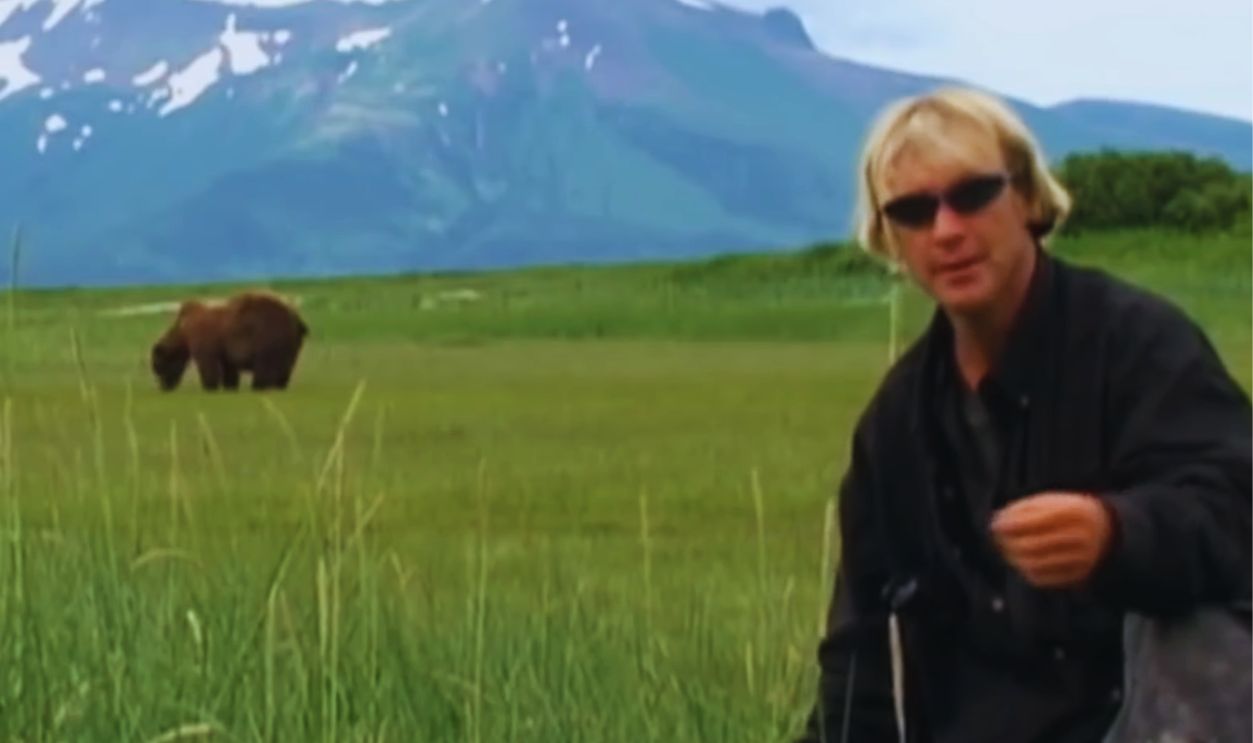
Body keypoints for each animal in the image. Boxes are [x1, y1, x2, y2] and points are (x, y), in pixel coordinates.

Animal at [150, 290, 309, 392]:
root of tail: (296, 316)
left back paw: (258, 386)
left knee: (264, 366)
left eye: (158, 367)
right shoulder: (225, 347)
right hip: (291, 345)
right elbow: (229, 369)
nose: (164, 388)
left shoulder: (204, 339)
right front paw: (230, 386)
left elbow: (207, 364)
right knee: (284, 370)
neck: (182, 331)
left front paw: (209, 386)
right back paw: (279, 385)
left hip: (267, 334)